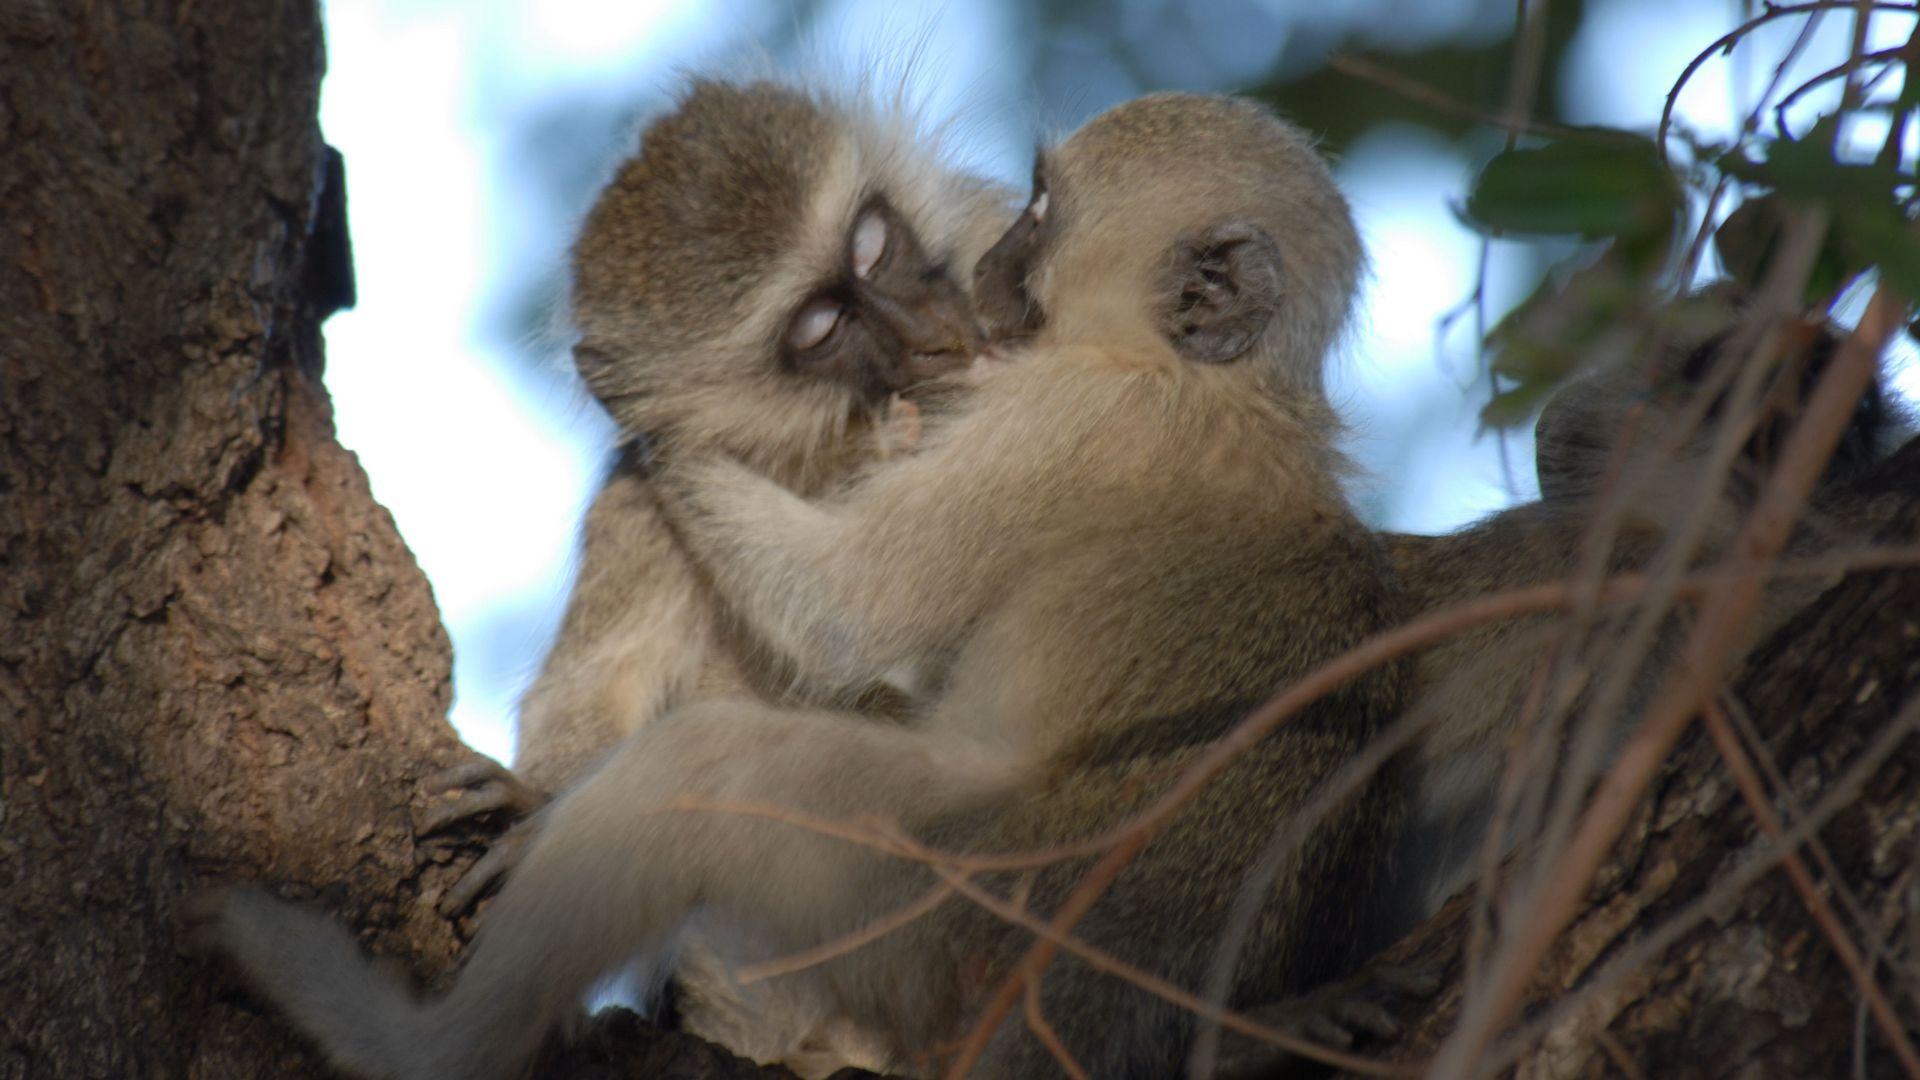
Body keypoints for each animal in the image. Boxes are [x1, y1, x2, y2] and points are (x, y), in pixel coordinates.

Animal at [197, 91, 1414, 1079]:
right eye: (822, 326)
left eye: (874, 246)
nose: (958, 307)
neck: (1230, 388)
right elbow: (604, 673)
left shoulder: (1062, 417)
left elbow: (842, 614)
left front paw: (666, 423)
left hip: (930, 902)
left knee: (709, 770)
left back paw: (404, 1038)